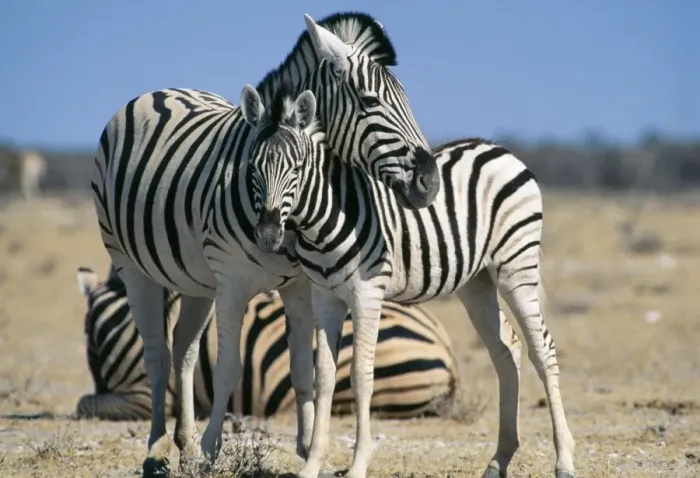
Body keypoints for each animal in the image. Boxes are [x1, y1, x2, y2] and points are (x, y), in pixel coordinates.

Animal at [239, 85, 576, 478]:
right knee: (506, 350)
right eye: (252, 168)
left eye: (296, 169)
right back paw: (499, 459)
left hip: (516, 266)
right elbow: (324, 376)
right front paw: (312, 465)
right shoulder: (324, 296)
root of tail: (499, 149)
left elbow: (360, 374)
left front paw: (358, 464)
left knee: (543, 349)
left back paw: (564, 460)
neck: (326, 219)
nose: (267, 235)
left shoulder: (367, 294)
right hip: (477, 283)